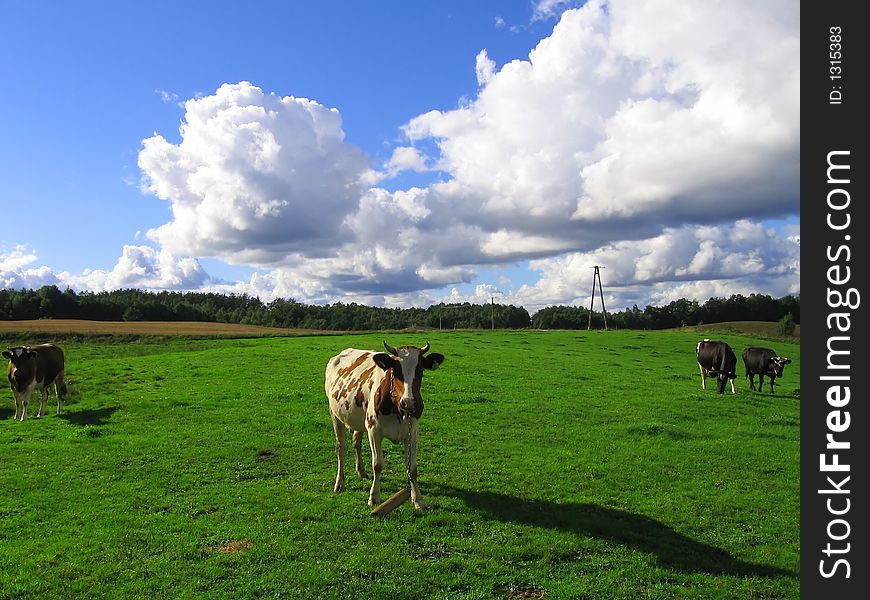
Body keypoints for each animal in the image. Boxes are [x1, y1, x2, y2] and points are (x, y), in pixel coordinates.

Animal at [328, 342, 450, 510]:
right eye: (396, 370)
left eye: (420, 370)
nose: (408, 402)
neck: (397, 408)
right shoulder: (374, 430)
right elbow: (378, 465)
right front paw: (374, 497)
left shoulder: (413, 432)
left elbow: (412, 468)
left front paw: (418, 499)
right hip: (335, 415)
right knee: (341, 449)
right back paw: (339, 483)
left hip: (359, 419)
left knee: (356, 442)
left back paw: (361, 471)